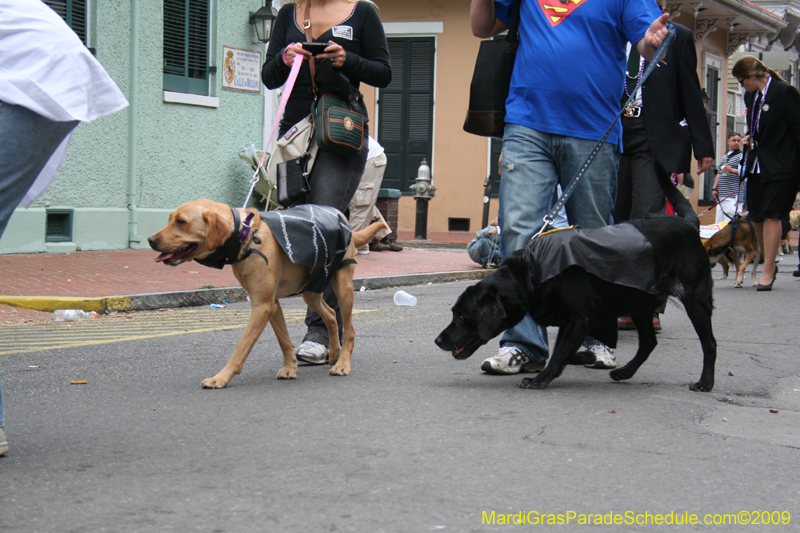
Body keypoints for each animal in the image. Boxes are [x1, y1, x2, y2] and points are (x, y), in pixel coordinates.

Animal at [151, 198, 388, 386]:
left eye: (181, 222)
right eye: (170, 218)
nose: (151, 240)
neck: (246, 236)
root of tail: (344, 218)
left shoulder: (262, 306)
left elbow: (241, 348)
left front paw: (221, 378)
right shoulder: (271, 304)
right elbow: (284, 340)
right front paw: (290, 368)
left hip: (343, 285)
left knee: (349, 329)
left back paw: (343, 363)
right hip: (311, 290)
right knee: (330, 314)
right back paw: (335, 353)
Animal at [438, 166, 720, 390]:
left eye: (461, 316)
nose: (438, 340)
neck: (533, 270)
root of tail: (688, 223)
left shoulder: (579, 320)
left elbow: (559, 353)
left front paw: (541, 379)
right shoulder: (568, 322)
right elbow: (560, 351)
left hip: (695, 300)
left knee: (710, 344)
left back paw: (705, 382)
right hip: (639, 303)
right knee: (649, 343)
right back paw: (625, 372)